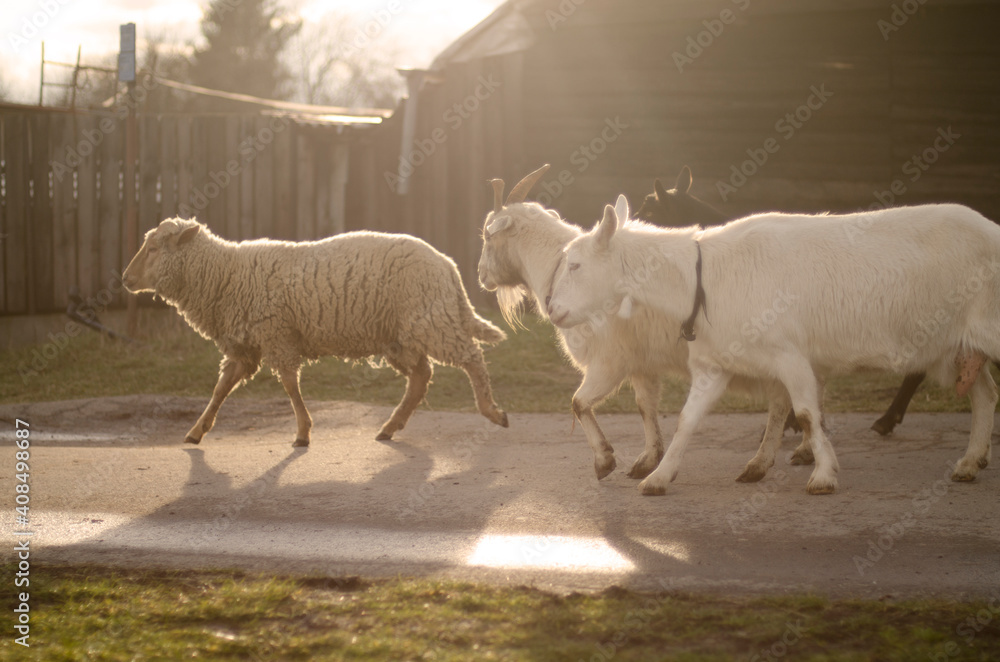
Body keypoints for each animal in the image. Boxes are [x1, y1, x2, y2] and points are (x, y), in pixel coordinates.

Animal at [123, 218, 509, 446]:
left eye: (153, 249)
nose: (125, 279)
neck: (225, 275)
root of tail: (448, 265)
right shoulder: (244, 348)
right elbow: (220, 389)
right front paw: (196, 430)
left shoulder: (276, 334)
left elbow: (290, 385)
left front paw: (302, 432)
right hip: (400, 335)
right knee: (420, 377)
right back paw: (390, 426)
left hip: (431, 321)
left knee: (472, 358)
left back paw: (492, 410)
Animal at [478, 165, 787, 480]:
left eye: (487, 236)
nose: (481, 276)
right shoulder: (641, 362)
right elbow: (644, 406)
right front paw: (648, 459)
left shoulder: (610, 359)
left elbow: (578, 402)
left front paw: (604, 460)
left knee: (780, 403)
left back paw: (760, 463)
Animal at [547, 202, 999, 495]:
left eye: (575, 265)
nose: (552, 310)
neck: (704, 279)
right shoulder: (716, 362)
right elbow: (688, 419)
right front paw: (658, 477)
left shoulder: (790, 355)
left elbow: (806, 413)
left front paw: (824, 476)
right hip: (956, 347)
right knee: (984, 393)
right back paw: (969, 463)